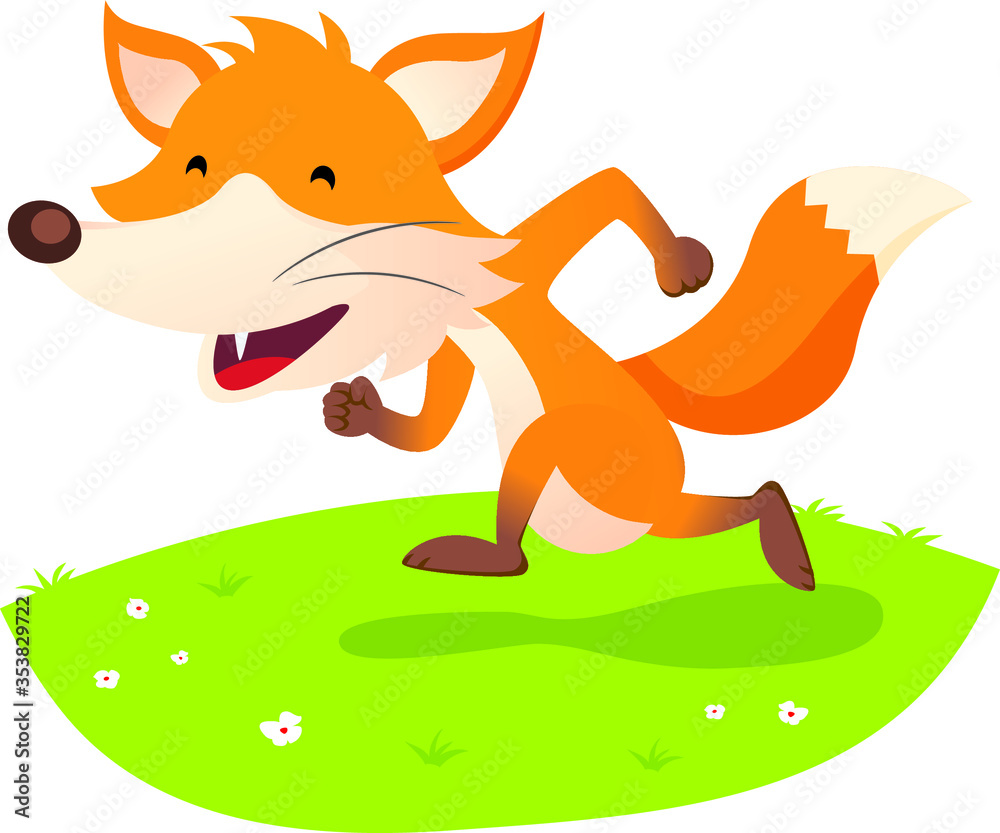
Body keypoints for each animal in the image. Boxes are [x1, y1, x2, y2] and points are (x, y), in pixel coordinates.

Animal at [8, 5, 968, 591]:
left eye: (321, 176)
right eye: (189, 165)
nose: (44, 228)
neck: (450, 299)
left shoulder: (516, 266)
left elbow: (610, 186)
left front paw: (683, 267)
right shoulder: (450, 349)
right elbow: (430, 430)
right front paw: (356, 412)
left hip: (602, 464)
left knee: (550, 502)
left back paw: (494, 556)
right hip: (645, 512)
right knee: (734, 500)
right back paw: (778, 533)